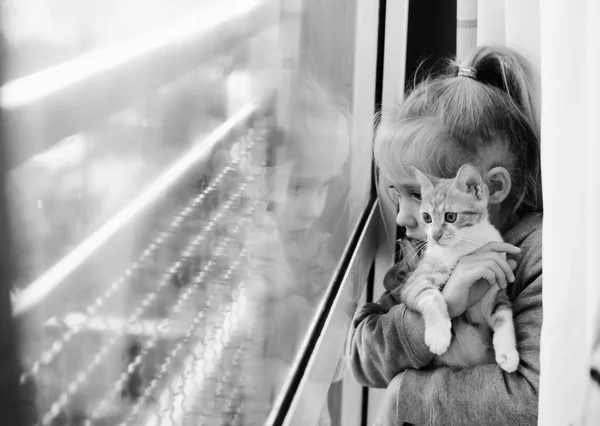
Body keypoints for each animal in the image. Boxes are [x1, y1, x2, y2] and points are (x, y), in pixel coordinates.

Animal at [398, 165, 520, 372]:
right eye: (426, 217)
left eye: (450, 216)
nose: (435, 236)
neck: (464, 246)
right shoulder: (416, 280)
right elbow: (430, 295)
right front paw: (438, 335)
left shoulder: (494, 285)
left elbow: (503, 315)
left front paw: (507, 353)